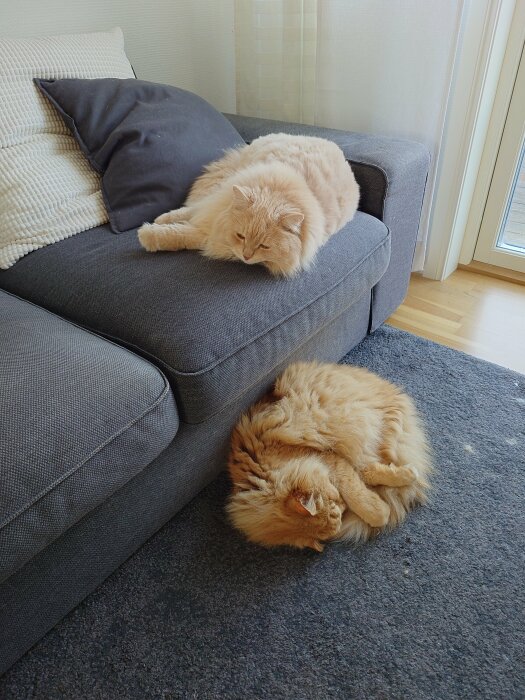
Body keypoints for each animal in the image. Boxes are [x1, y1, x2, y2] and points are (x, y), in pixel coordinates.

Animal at [227, 360, 432, 552]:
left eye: (335, 503)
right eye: (338, 511)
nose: (343, 507)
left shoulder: (326, 457)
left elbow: (360, 494)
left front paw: (382, 509)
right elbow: (364, 478)